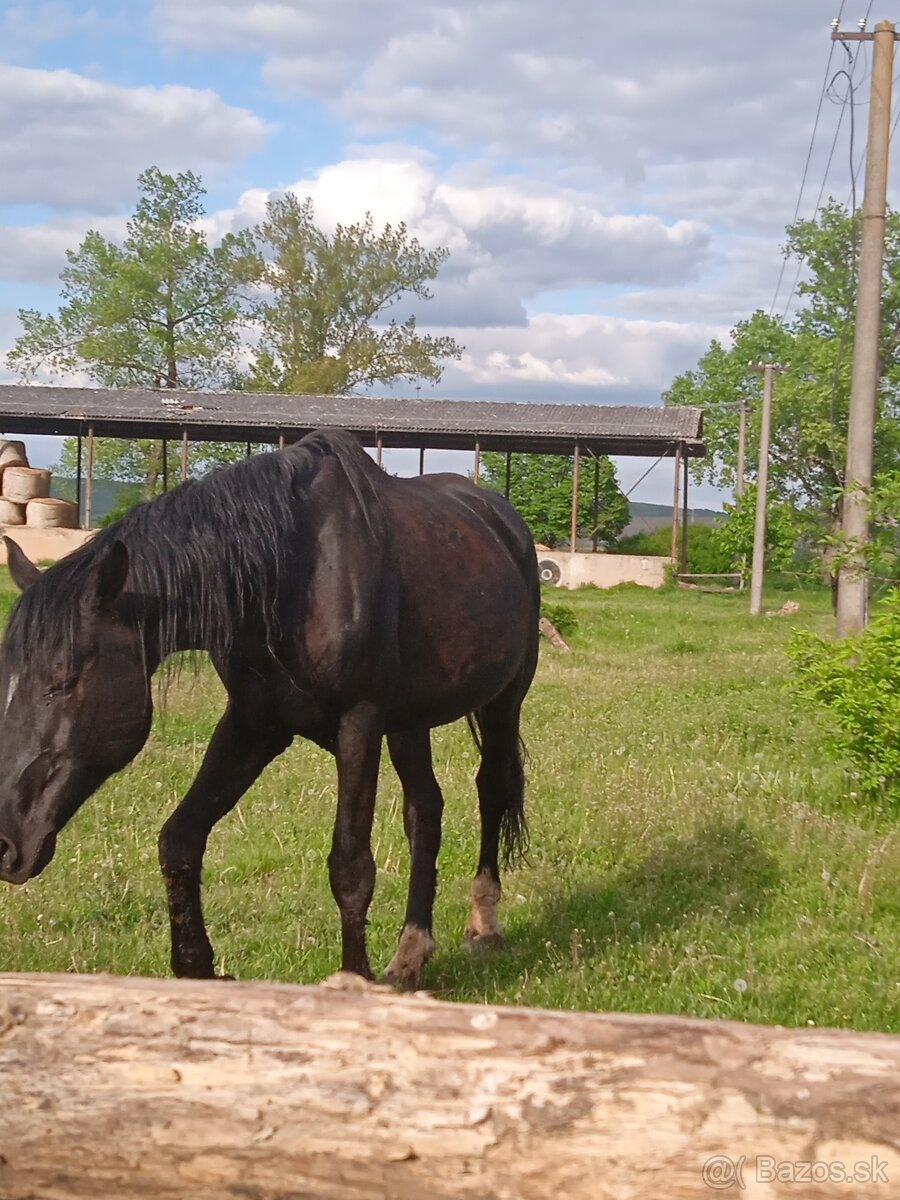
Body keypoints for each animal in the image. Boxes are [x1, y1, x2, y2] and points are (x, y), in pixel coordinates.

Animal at [0, 429, 535, 984]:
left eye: (62, 681)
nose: (7, 845)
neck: (294, 574)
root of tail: (503, 519)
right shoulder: (254, 724)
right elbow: (180, 838)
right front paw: (197, 968)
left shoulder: (359, 723)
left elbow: (350, 868)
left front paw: (353, 980)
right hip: (409, 724)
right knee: (425, 811)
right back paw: (410, 954)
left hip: (503, 701)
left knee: (491, 789)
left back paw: (483, 925)